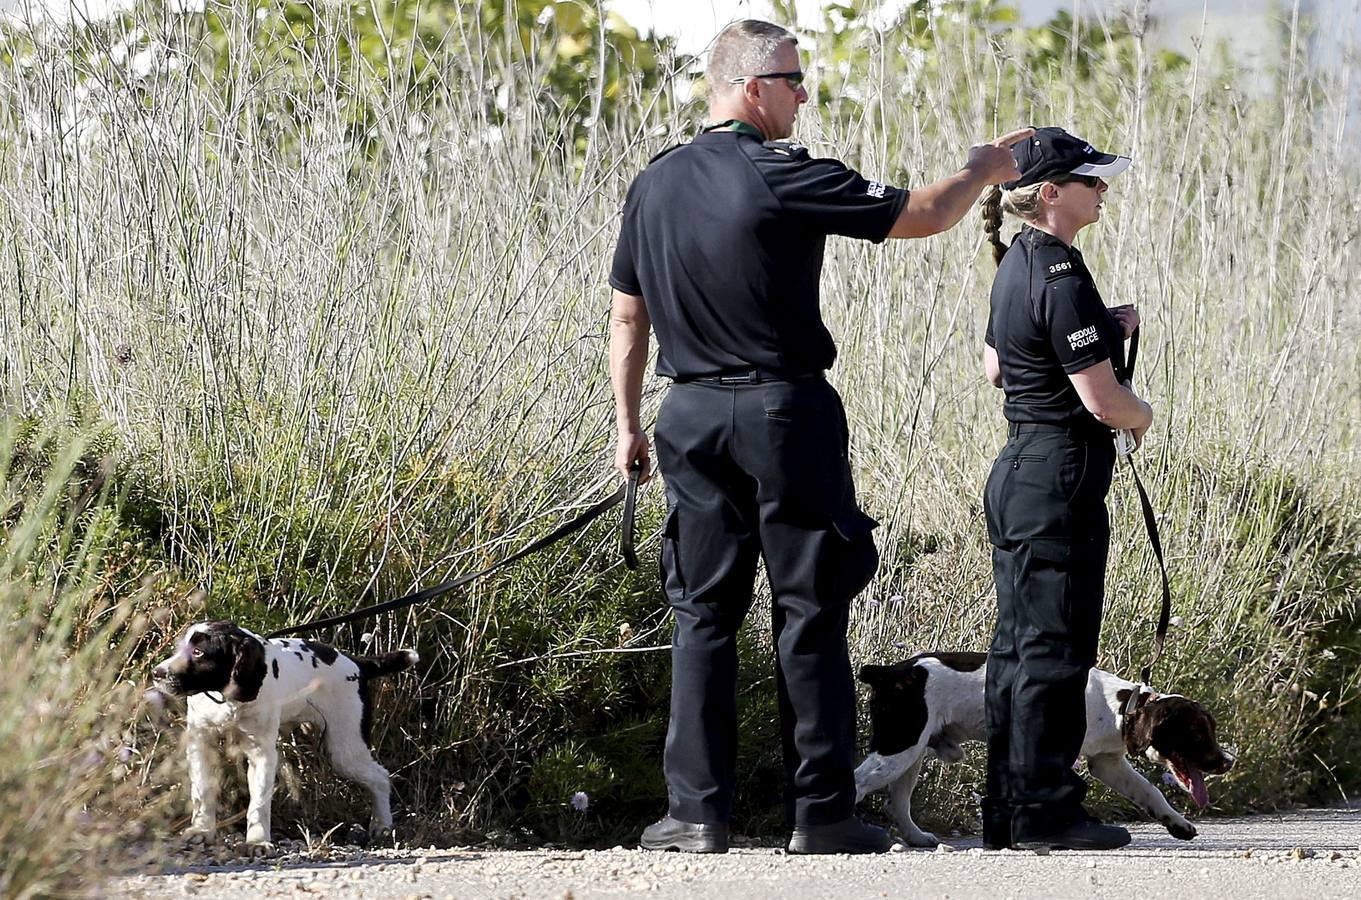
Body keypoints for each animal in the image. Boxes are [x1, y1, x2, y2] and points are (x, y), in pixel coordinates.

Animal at [155, 618, 419, 849]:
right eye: (180, 647)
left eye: (198, 652)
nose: (157, 673)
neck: (227, 700)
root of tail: (356, 663)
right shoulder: (201, 744)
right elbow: (203, 791)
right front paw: (201, 830)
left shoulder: (262, 754)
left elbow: (259, 804)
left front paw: (258, 843)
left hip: (346, 749)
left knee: (381, 777)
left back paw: (382, 826)